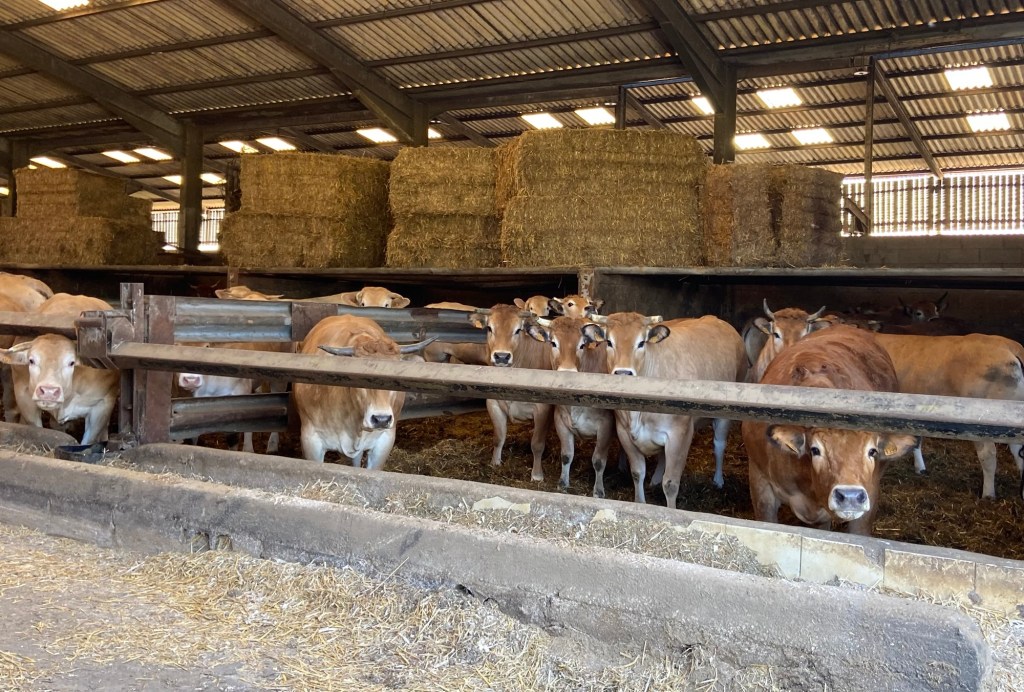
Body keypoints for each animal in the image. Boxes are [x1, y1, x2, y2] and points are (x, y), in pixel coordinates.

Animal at [0, 294, 119, 445]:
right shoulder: (24, 399)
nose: (49, 392)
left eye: (71, 362)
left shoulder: (103, 405)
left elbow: (88, 441)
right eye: (31, 360)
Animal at [470, 304, 554, 482]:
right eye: (489, 328)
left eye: (517, 330)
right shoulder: (493, 403)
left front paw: (537, 476)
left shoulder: (543, 408)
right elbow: (498, 437)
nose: (502, 356)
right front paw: (495, 463)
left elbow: (537, 444)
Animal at [525, 316, 615, 495]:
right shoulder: (561, 421)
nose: (567, 372)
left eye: (581, 345)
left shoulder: (606, 426)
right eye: (553, 343)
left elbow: (599, 460)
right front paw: (563, 483)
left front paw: (598, 491)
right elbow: (566, 455)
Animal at [581, 313, 747, 507]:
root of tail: (715, 319)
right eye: (609, 342)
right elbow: (637, 473)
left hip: (726, 413)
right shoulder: (624, 432)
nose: (623, 373)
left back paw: (718, 480)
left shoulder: (680, 435)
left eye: (641, 343)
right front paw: (640, 502)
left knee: (719, 444)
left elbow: (671, 484)